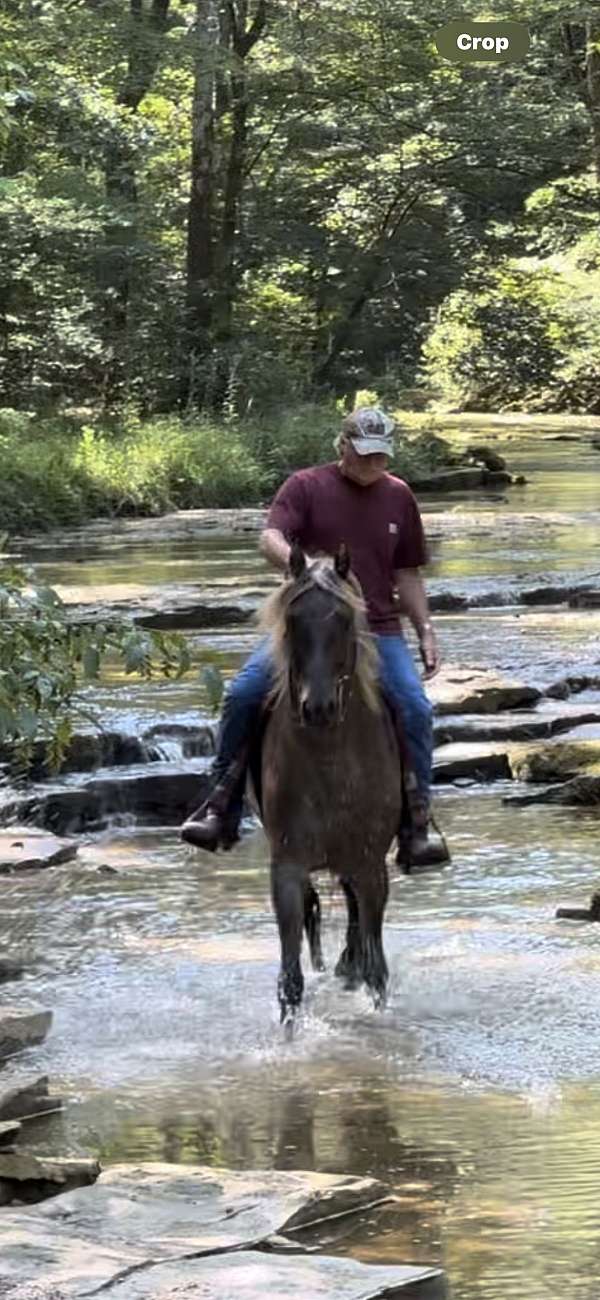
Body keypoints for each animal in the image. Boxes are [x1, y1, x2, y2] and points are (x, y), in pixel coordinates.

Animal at [255, 538, 400, 1024]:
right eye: (292, 620)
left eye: (343, 619)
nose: (318, 707)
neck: (327, 760)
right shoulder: (287, 866)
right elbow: (290, 980)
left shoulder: (371, 864)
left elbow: (378, 973)